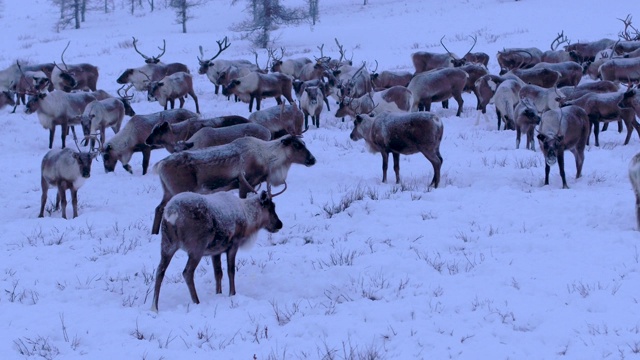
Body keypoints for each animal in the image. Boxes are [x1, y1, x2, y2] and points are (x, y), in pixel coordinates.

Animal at [151, 188, 284, 312]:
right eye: (271, 207)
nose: (280, 224)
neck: (248, 220)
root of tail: (171, 212)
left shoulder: (215, 251)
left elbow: (218, 273)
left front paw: (218, 294)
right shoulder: (233, 244)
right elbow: (231, 271)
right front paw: (232, 294)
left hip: (167, 244)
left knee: (160, 270)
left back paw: (154, 307)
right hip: (197, 247)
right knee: (187, 272)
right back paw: (196, 301)